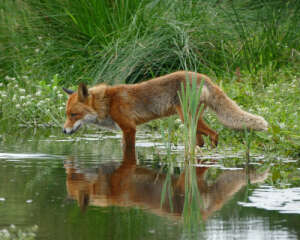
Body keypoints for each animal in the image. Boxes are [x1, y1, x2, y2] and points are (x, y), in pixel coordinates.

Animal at [62, 71, 268, 158]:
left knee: (215, 134)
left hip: (187, 118)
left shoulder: (129, 128)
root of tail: (204, 77)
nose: (63, 131)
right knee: (201, 140)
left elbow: (128, 150)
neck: (108, 102)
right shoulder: (124, 130)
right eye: (67, 114)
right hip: (192, 121)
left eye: (73, 115)